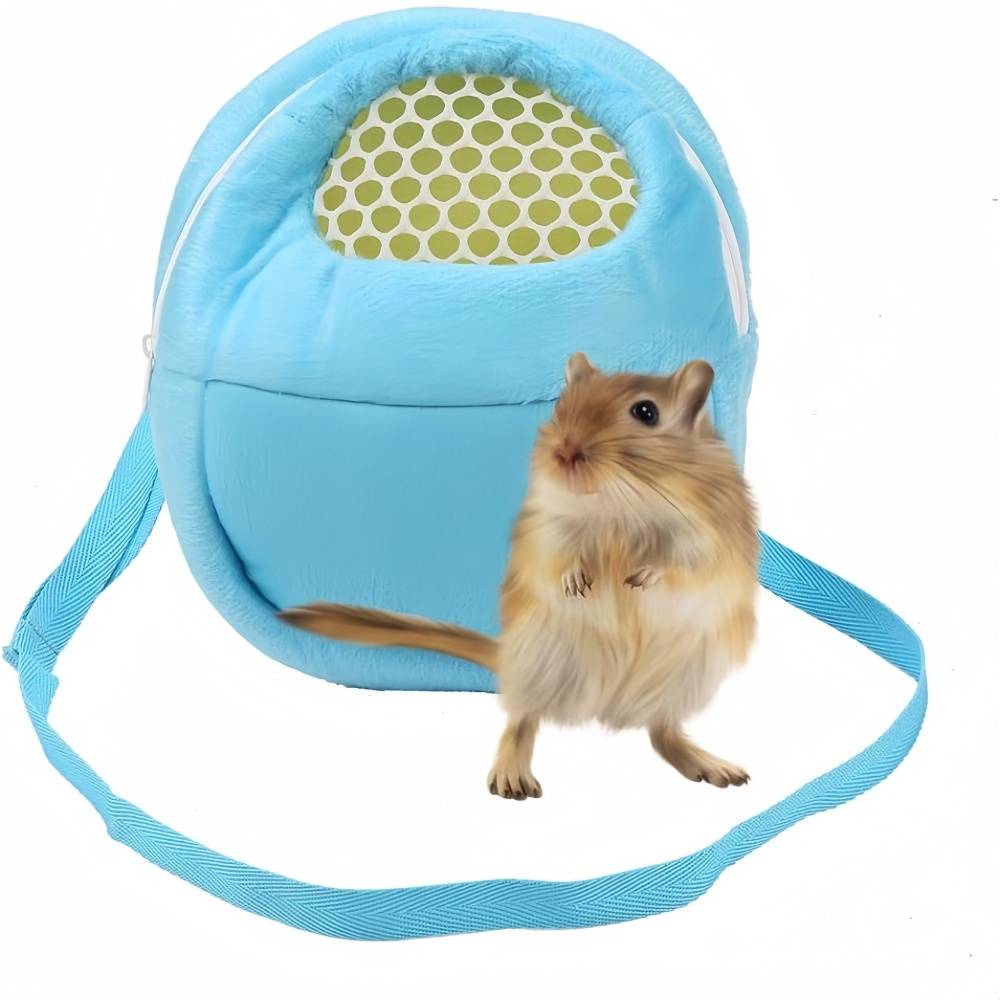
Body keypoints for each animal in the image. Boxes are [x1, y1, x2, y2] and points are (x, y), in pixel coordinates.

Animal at [279, 353, 759, 800]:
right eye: (563, 405)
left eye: (646, 412)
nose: (563, 452)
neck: (618, 506)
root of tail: (607, 705)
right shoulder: (546, 528)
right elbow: (558, 560)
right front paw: (578, 583)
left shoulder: (711, 536)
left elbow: (685, 565)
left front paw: (640, 578)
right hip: (540, 658)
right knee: (522, 719)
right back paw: (512, 777)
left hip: (684, 679)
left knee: (663, 732)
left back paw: (715, 767)